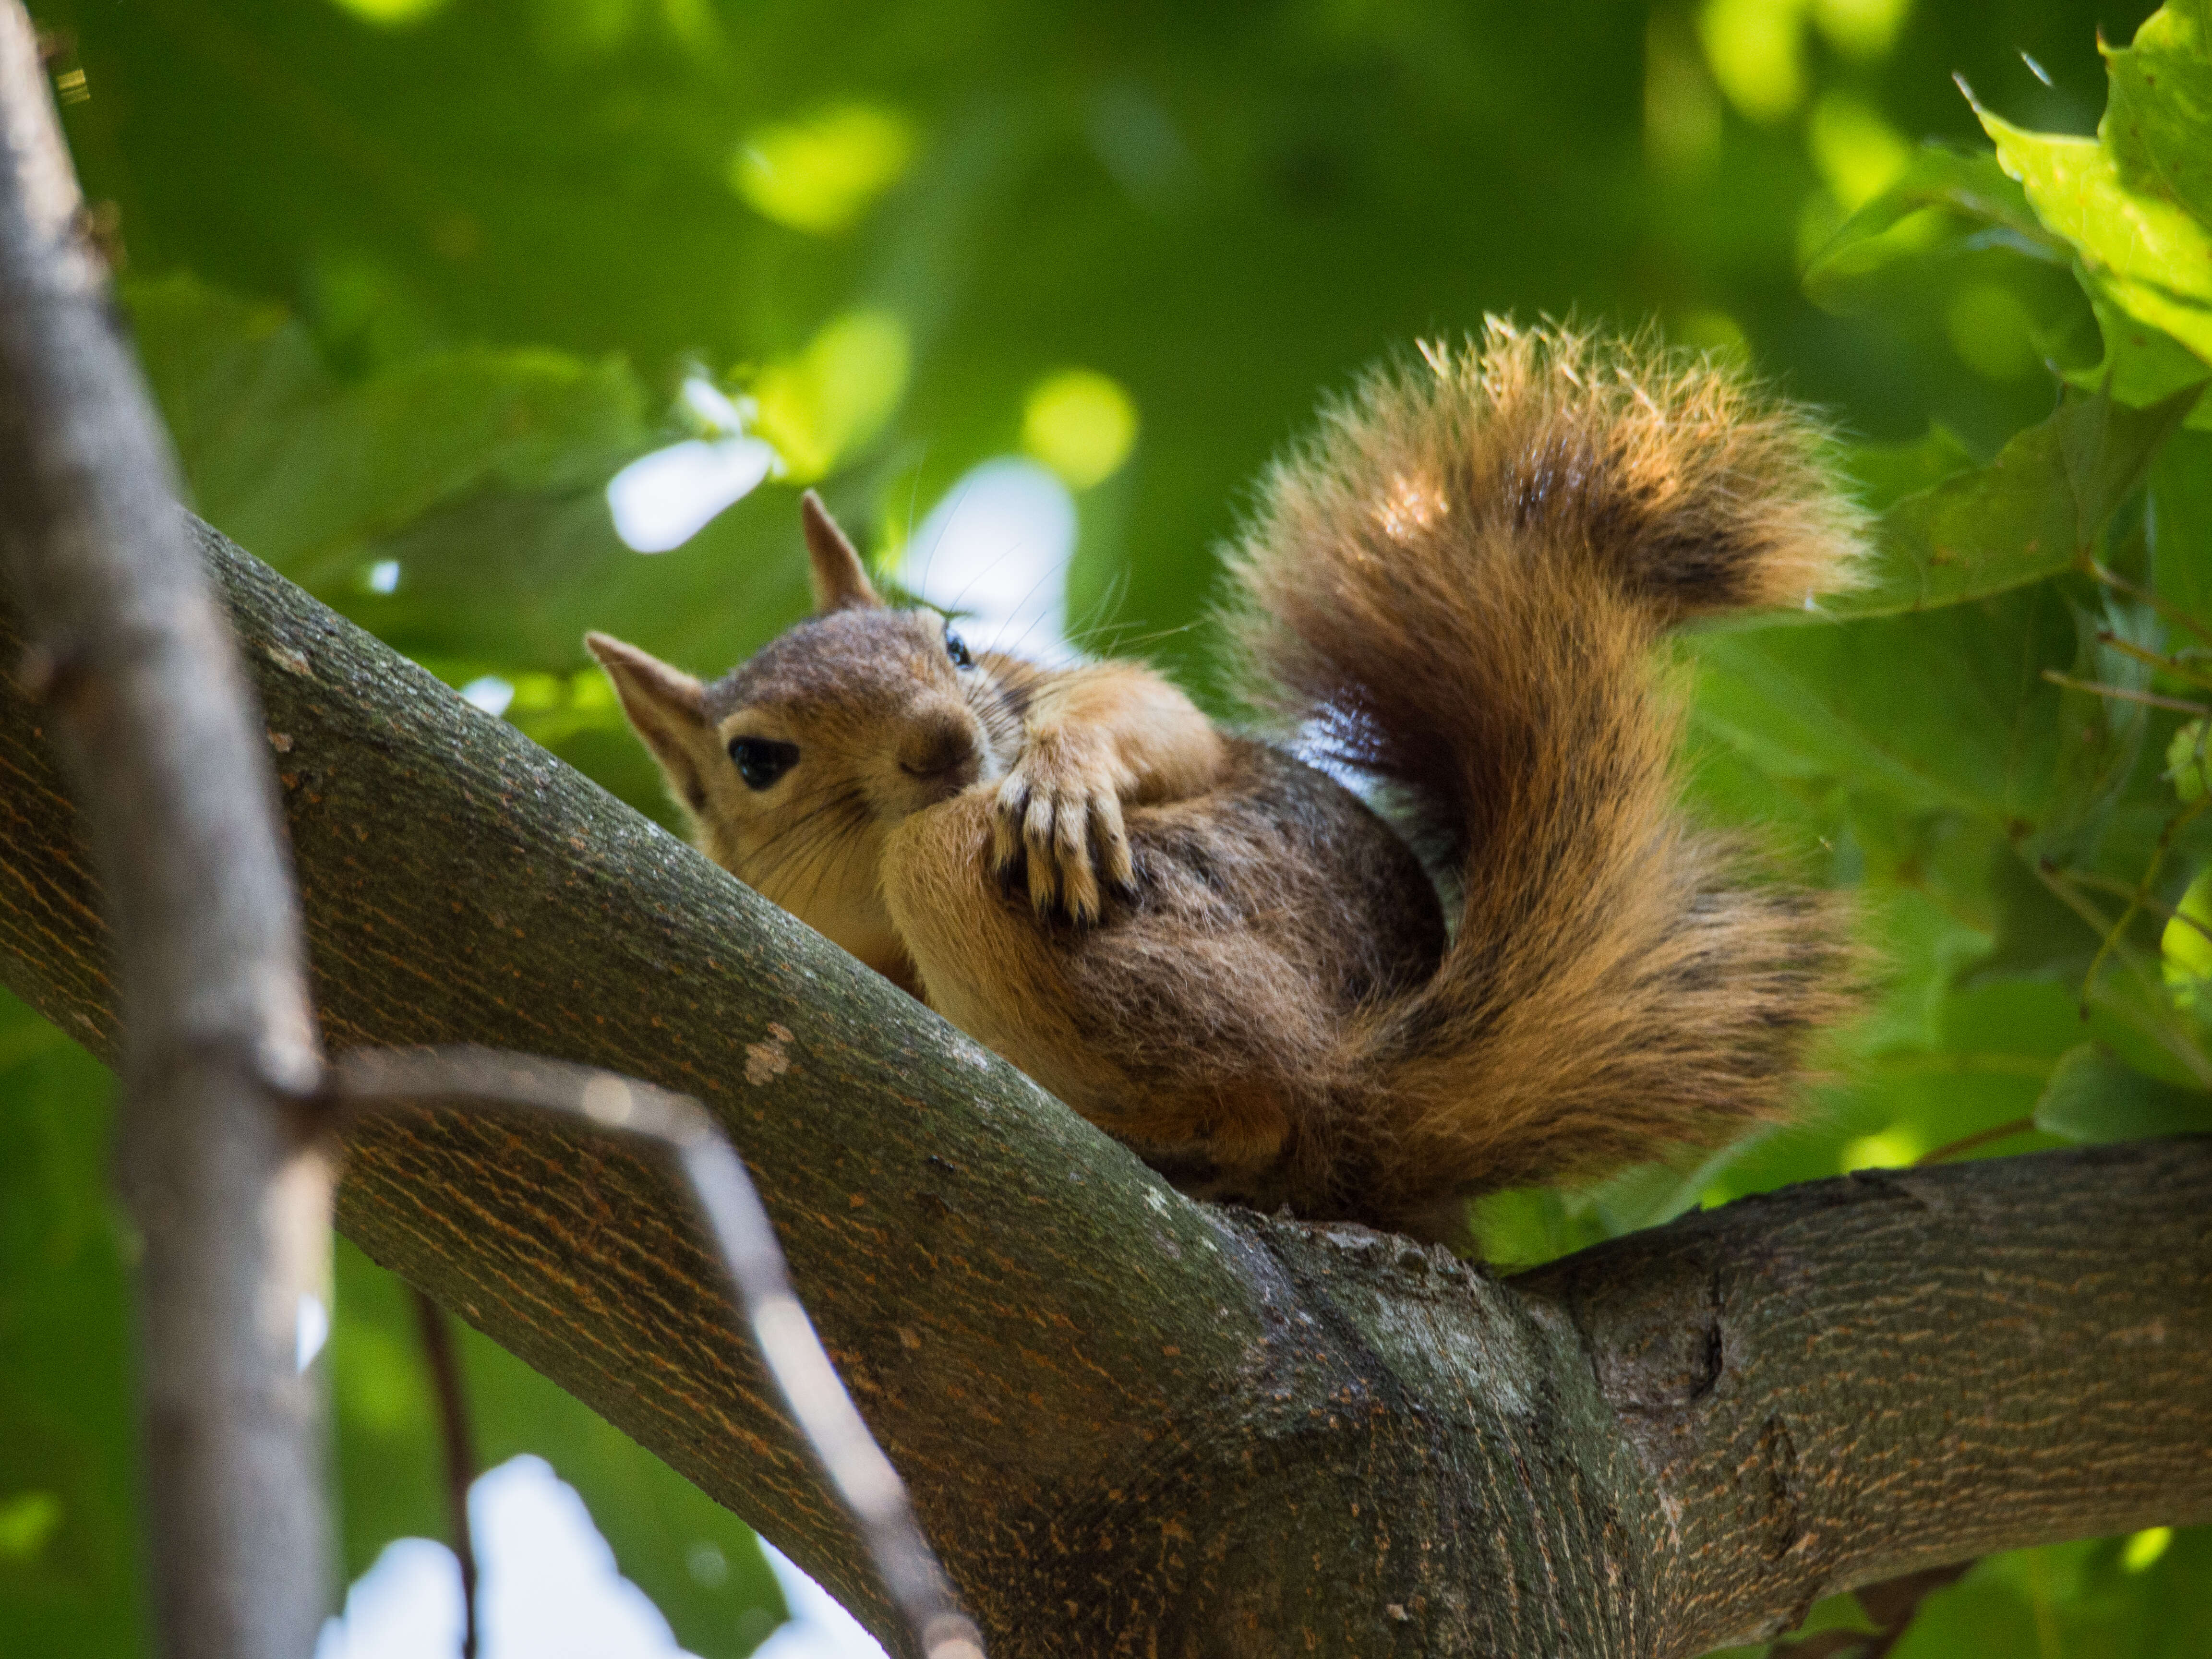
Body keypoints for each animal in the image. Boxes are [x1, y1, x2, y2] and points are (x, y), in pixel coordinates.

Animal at [588, 321, 1867, 1247]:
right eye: (757, 759)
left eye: (950, 640)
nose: (947, 744)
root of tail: (1358, 1077)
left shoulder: (1074, 703)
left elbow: (1154, 718)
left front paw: (1062, 776)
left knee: (1266, 1095)